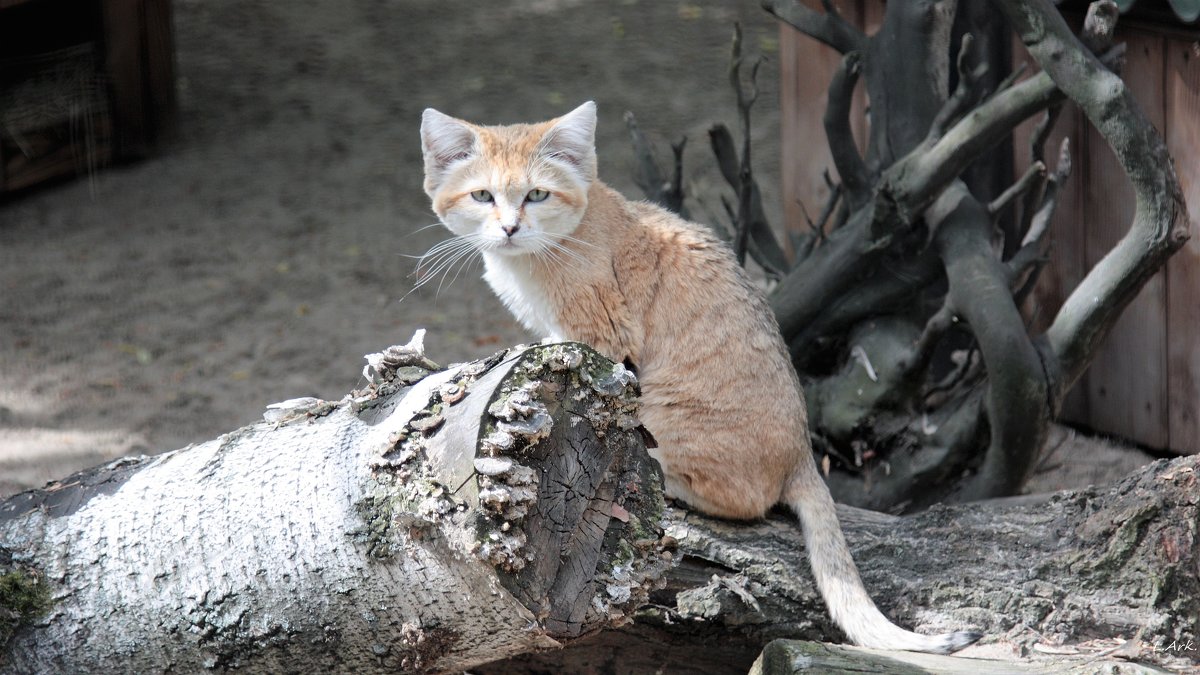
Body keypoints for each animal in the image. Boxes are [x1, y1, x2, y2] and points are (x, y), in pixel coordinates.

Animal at [417, 100, 979, 653]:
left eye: (536, 194)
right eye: (483, 195)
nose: (510, 228)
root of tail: (803, 452)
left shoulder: (599, 336)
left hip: (667, 411)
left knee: (745, 502)